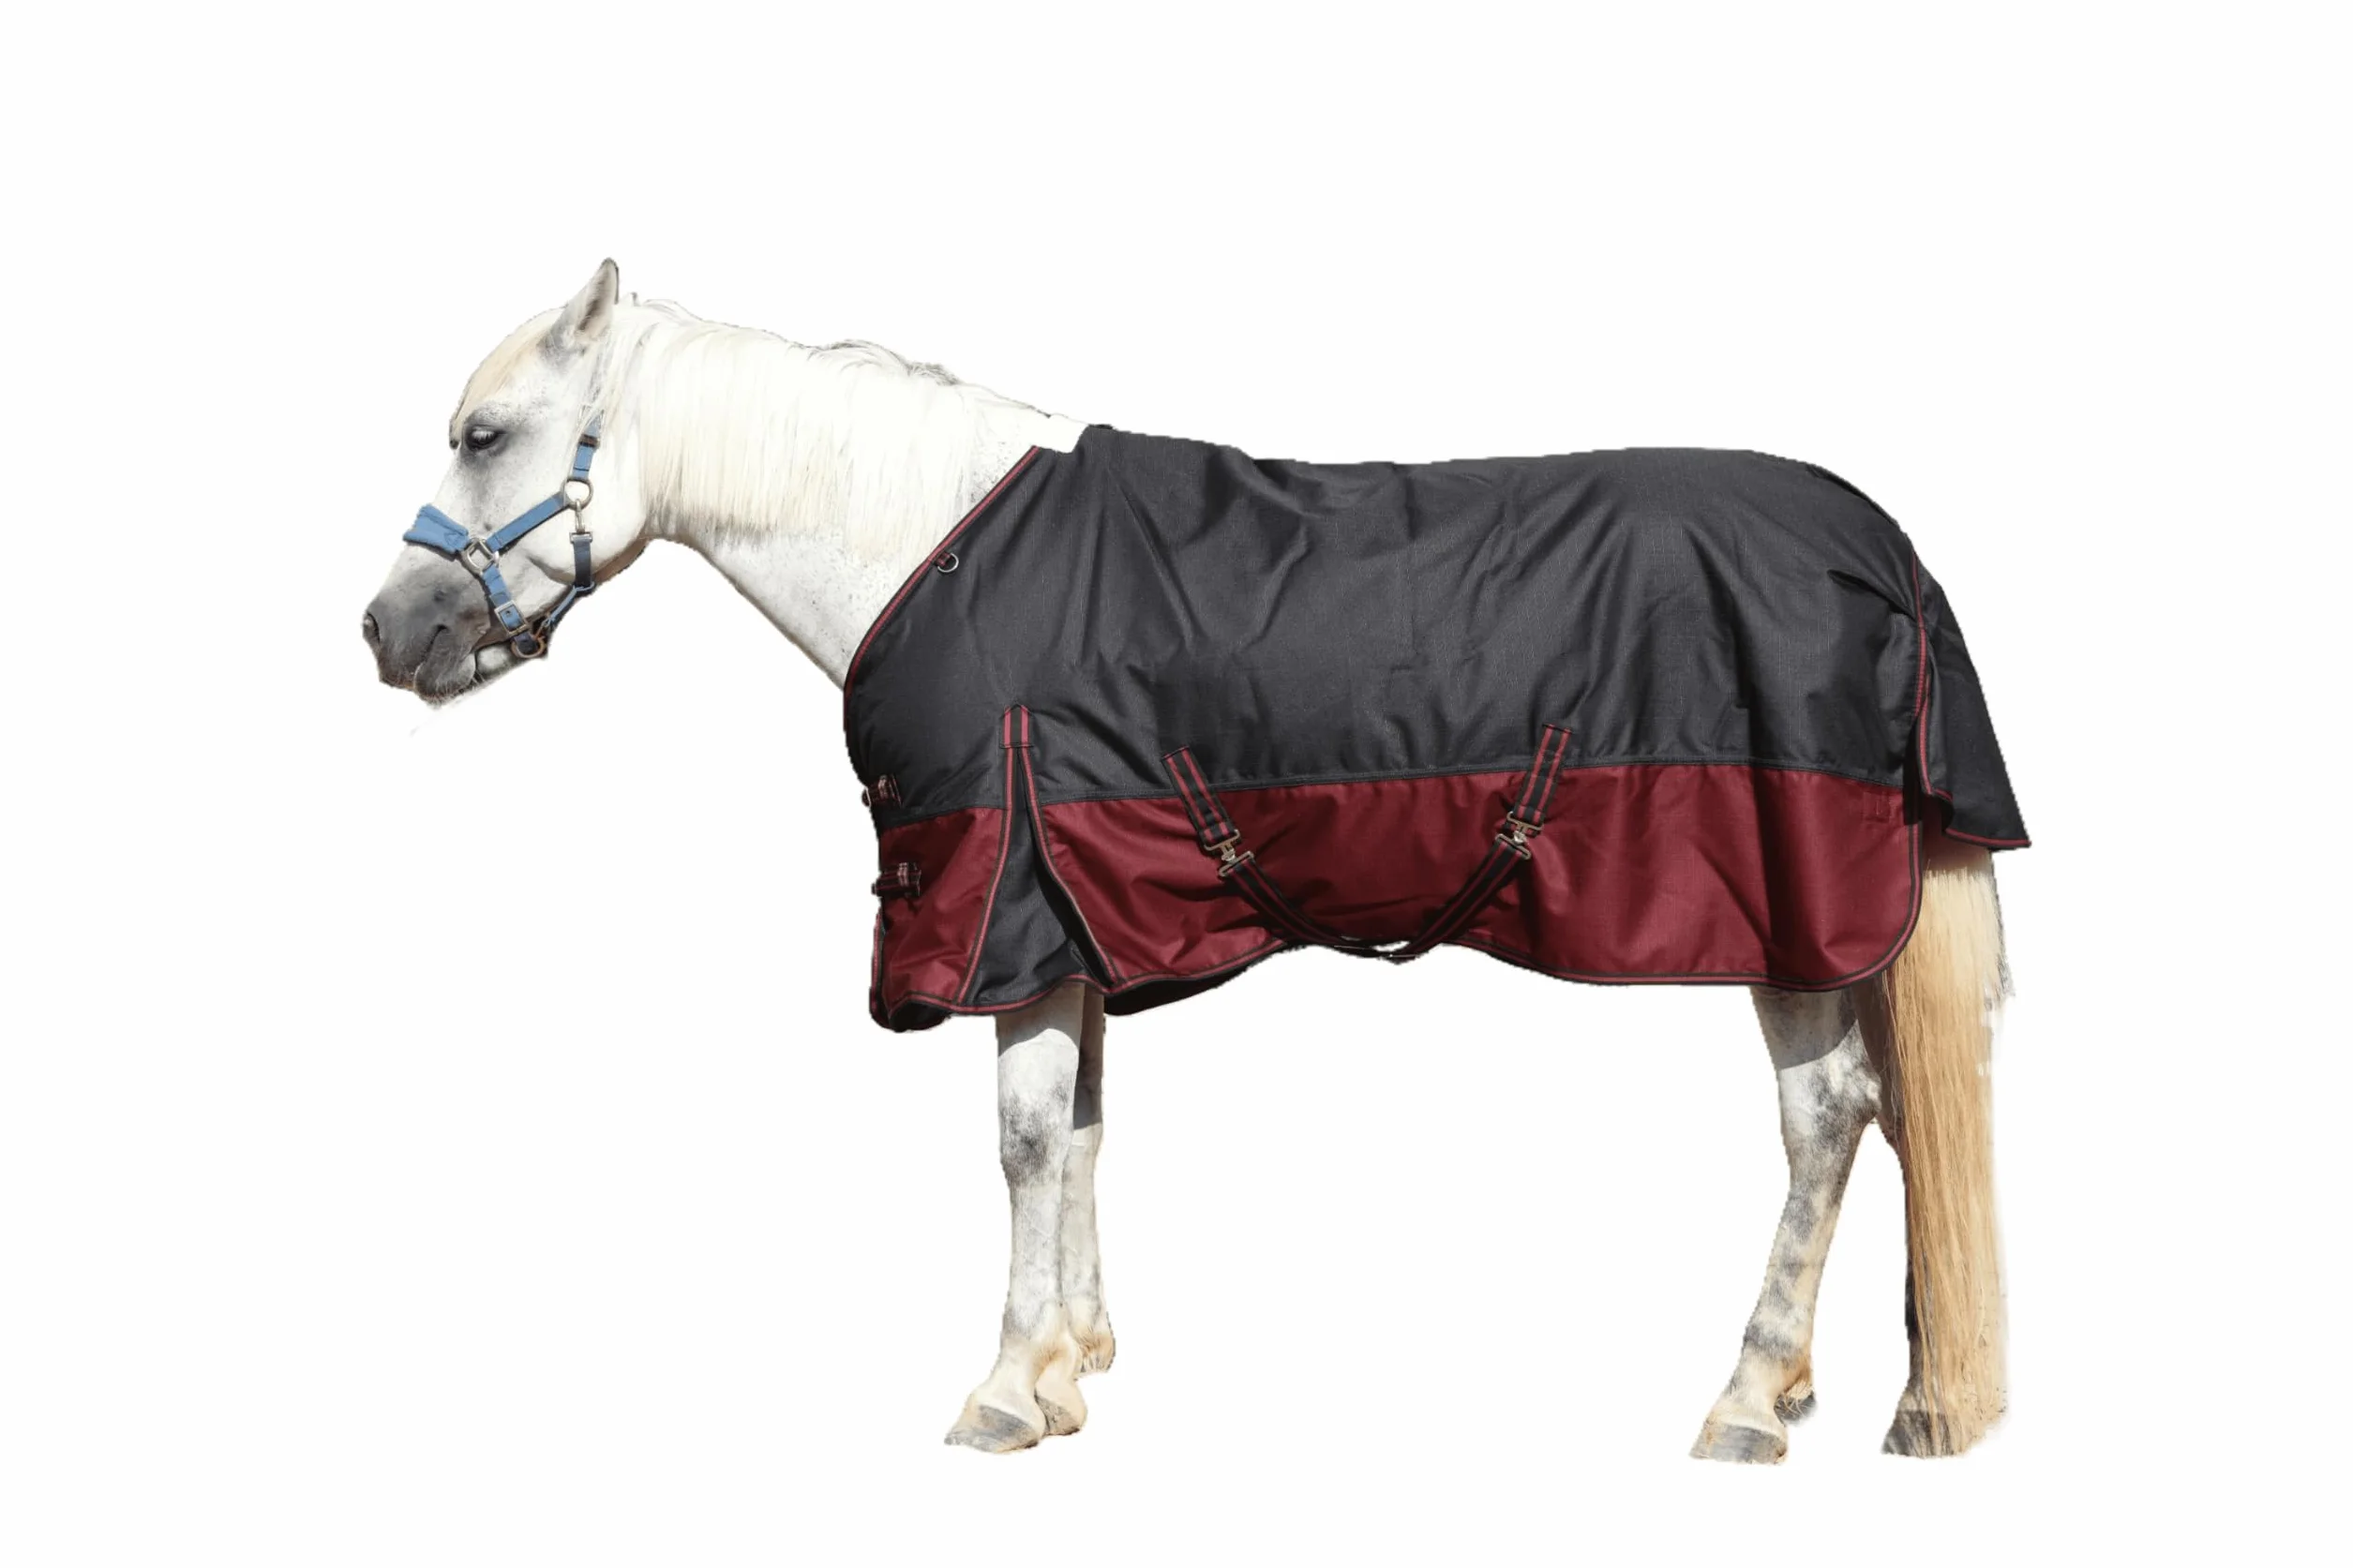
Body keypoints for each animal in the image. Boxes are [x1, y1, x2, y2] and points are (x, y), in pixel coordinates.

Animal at [363, 261, 2017, 1461]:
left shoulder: (1005, 910)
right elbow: (1087, 1129)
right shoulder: (1078, 914)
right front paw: (1071, 1368)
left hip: (1787, 923)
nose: (386, 632)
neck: (929, 547)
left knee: (1825, 1120)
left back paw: (1743, 1399)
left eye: (485, 435)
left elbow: (1025, 1139)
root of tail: (1885, 553)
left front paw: (1002, 1395)